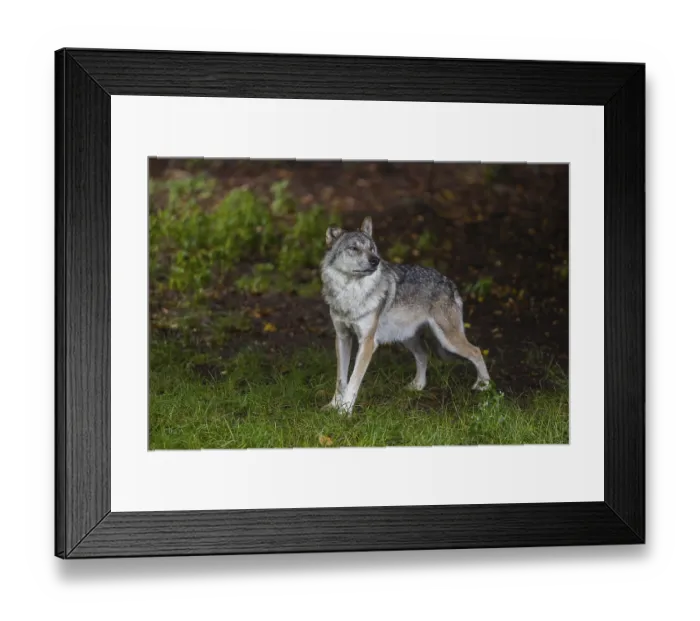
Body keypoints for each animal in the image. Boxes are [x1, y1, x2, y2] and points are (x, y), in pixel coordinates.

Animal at [320, 216, 491, 415]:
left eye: (372, 248)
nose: (375, 260)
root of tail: (450, 282)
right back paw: (417, 386)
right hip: (406, 338)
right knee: (424, 353)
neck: (351, 293)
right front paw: (333, 406)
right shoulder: (342, 338)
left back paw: (484, 386)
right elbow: (341, 379)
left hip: (447, 340)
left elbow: (354, 380)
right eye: (354, 248)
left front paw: (344, 412)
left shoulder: (368, 343)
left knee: (476, 351)